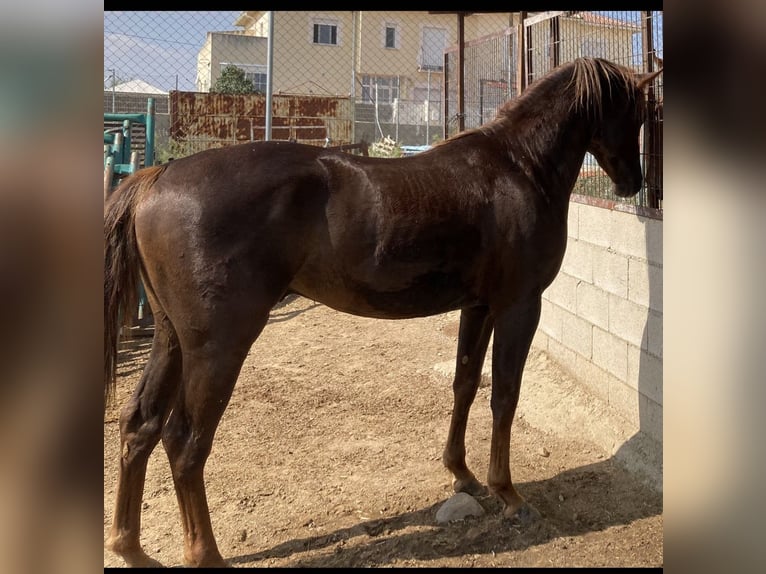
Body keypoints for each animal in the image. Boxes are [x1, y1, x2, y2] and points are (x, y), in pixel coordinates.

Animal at [104, 57, 661, 567]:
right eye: (636, 114)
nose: (633, 182)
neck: (517, 168)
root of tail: (160, 176)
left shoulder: (478, 306)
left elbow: (465, 383)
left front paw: (462, 474)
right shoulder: (519, 306)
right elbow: (504, 395)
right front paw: (508, 493)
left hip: (172, 339)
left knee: (139, 426)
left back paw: (131, 548)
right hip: (218, 347)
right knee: (185, 443)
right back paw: (205, 554)